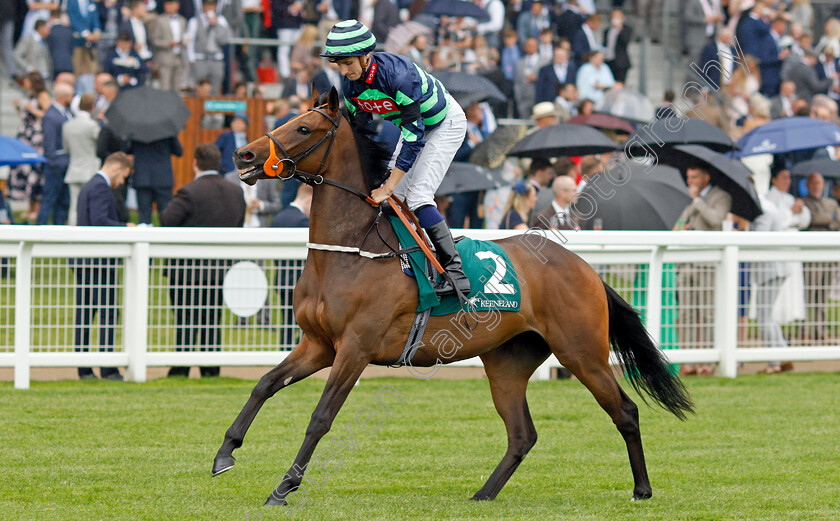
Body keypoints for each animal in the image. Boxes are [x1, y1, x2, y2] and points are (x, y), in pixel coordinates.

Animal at [213, 88, 692, 504]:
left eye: (304, 128)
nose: (244, 155)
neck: (351, 251)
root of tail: (585, 268)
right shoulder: (318, 344)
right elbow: (263, 384)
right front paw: (225, 453)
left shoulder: (355, 347)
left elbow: (320, 417)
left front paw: (283, 488)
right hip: (507, 362)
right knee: (522, 434)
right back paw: (484, 493)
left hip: (582, 352)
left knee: (625, 411)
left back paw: (642, 489)